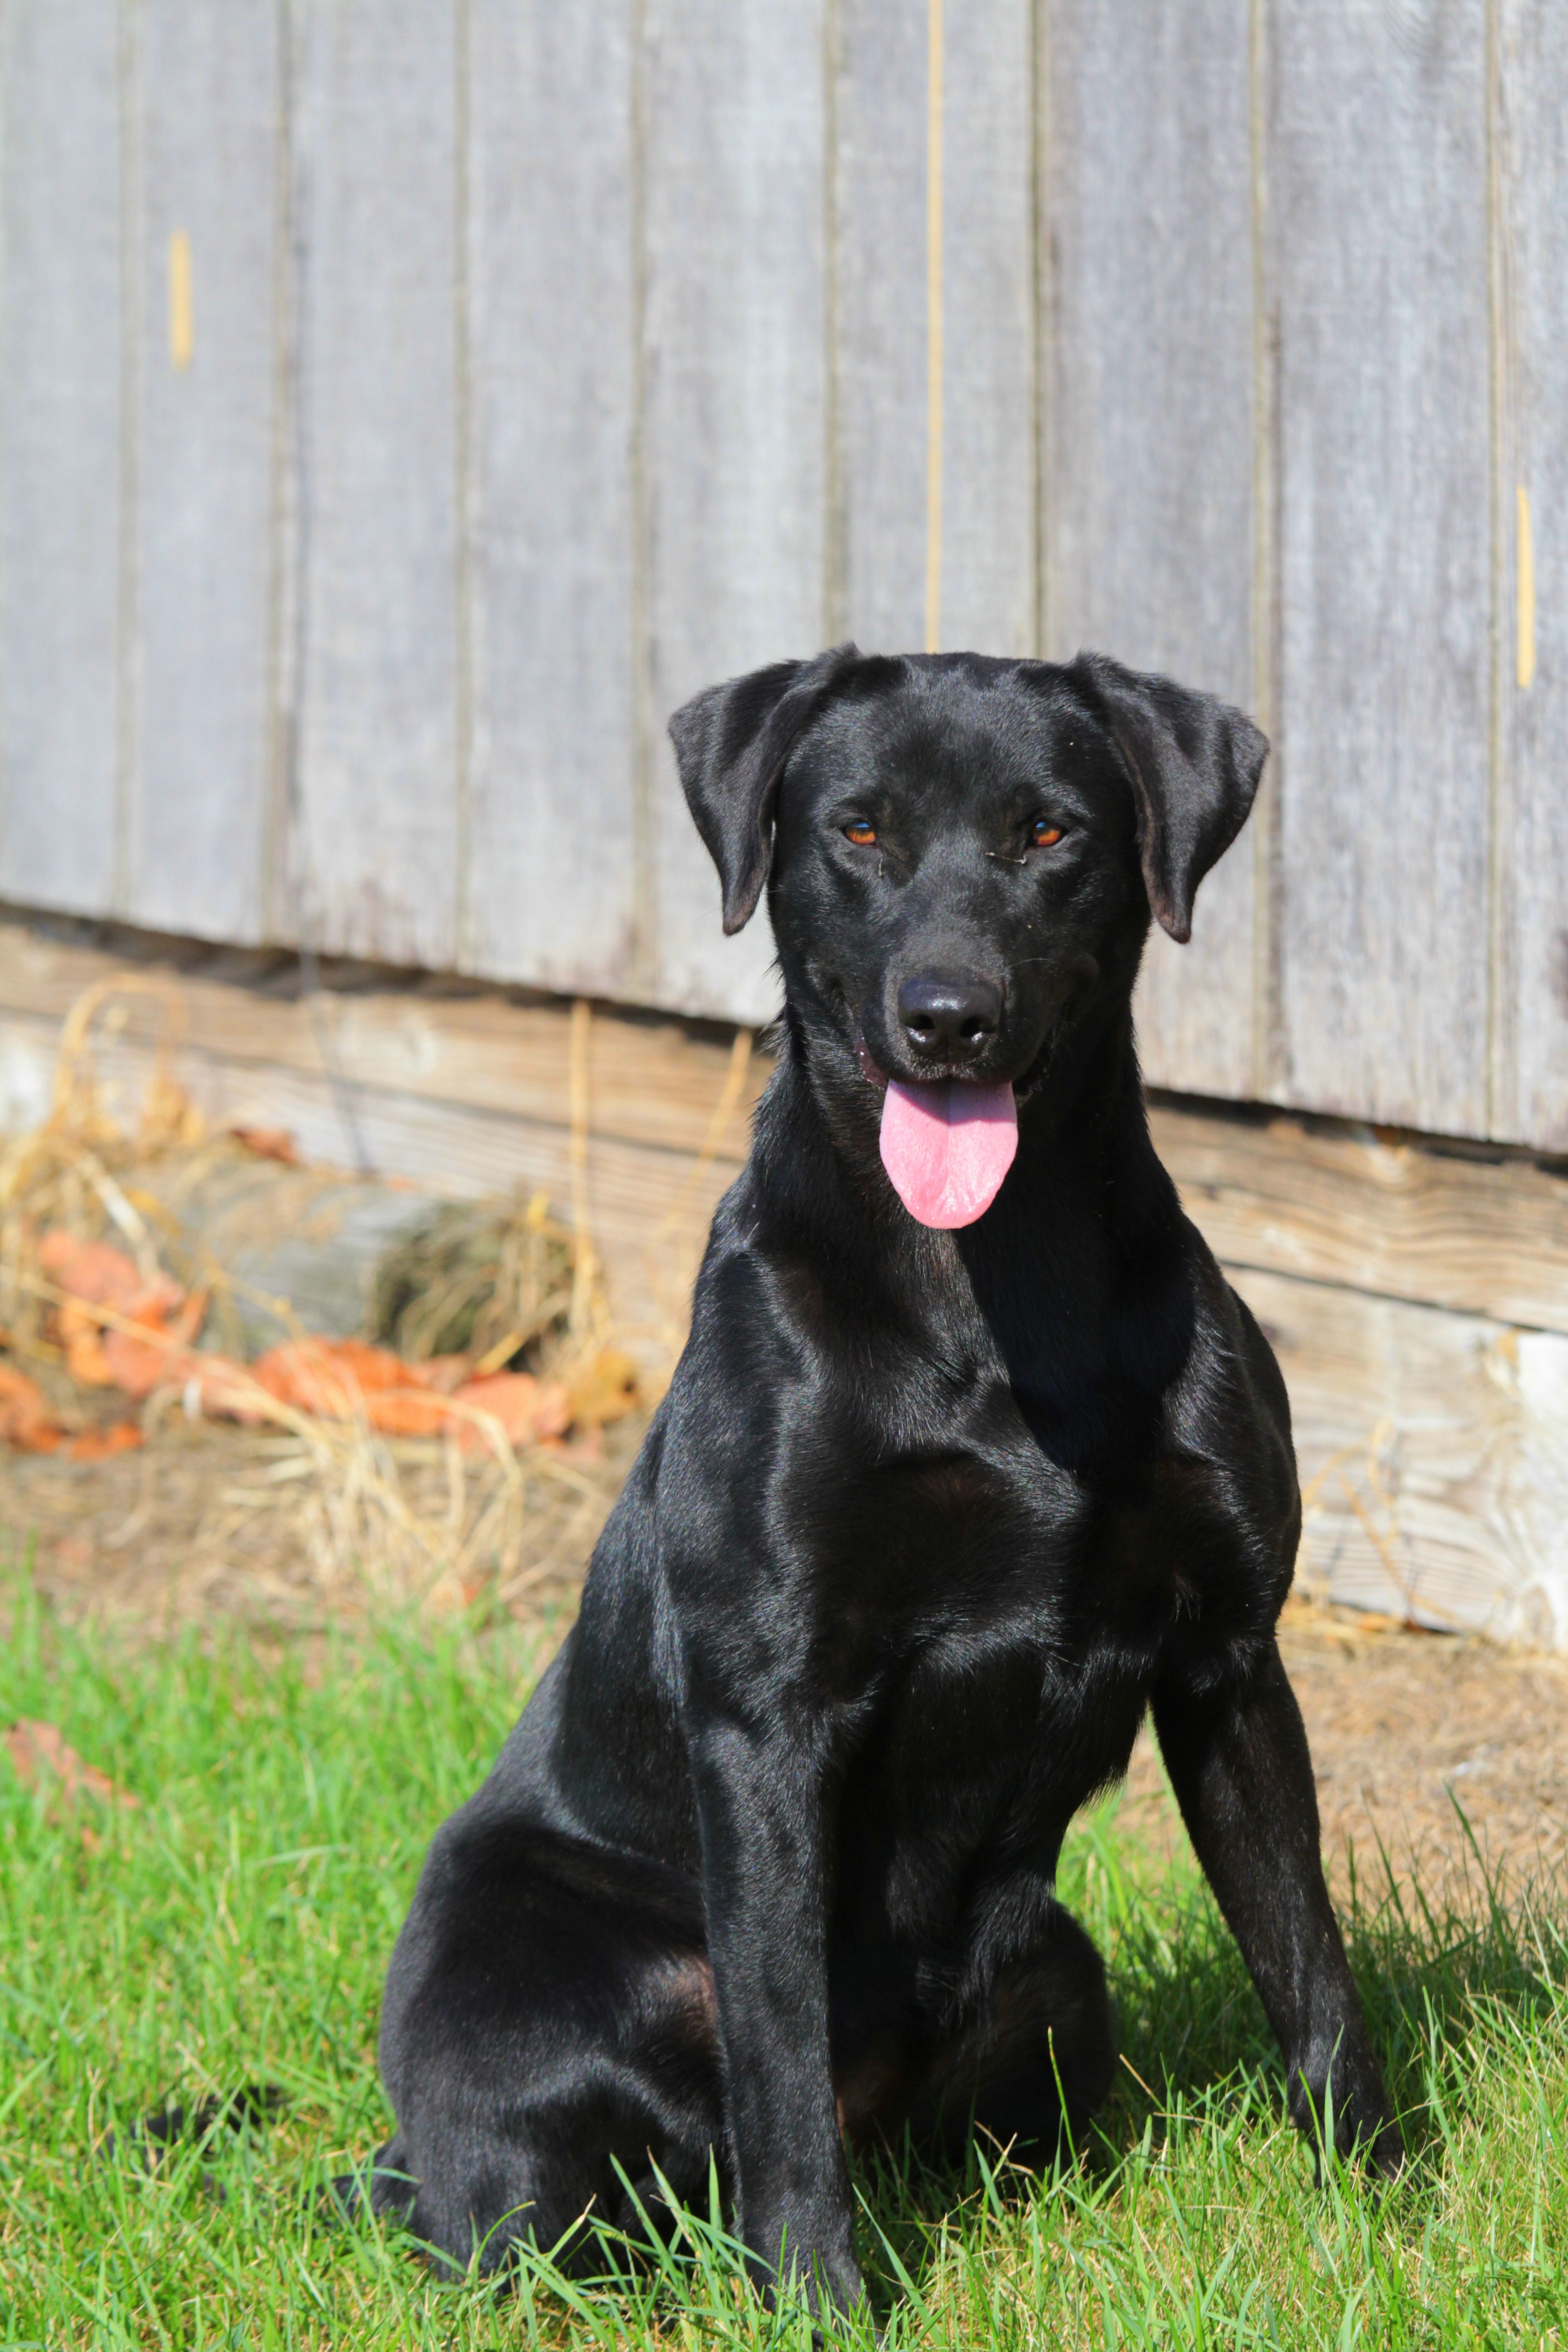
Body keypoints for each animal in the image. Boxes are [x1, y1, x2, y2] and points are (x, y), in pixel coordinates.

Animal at [364, 649, 1401, 2314]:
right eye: (856, 830)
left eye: (1047, 832)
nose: (949, 1018)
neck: (993, 1293)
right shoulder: (773, 1717)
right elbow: (780, 2059)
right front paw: (816, 2306)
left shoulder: (1229, 1661)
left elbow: (1307, 1963)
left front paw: (1375, 2206)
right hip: (518, 1999)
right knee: (561, 2215)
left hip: (1054, 1968)